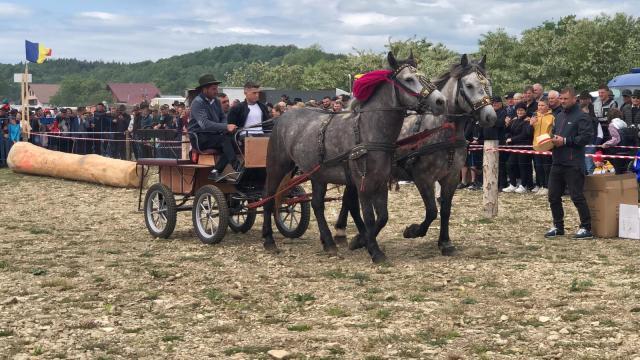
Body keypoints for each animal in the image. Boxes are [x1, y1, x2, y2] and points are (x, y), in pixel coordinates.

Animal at [260, 52, 444, 262]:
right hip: (277, 166)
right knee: (268, 197)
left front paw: (361, 241)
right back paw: (269, 240)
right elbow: (369, 217)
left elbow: (383, 216)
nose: (440, 101)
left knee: (316, 204)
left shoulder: (381, 181)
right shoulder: (362, 182)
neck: (368, 131)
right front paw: (374, 250)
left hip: (318, 174)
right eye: (408, 79)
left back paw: (329, 243)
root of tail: (282, 117)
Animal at [336, 53, 496, 256]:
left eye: (487, 83)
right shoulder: (423, 177)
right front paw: (413, 231)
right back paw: (357, 235)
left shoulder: (451, 177)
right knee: (351, 201)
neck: (441, 130)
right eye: (469, 85)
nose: (490, 117)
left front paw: (445, 242)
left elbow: (445, 210)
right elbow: (432, 211)